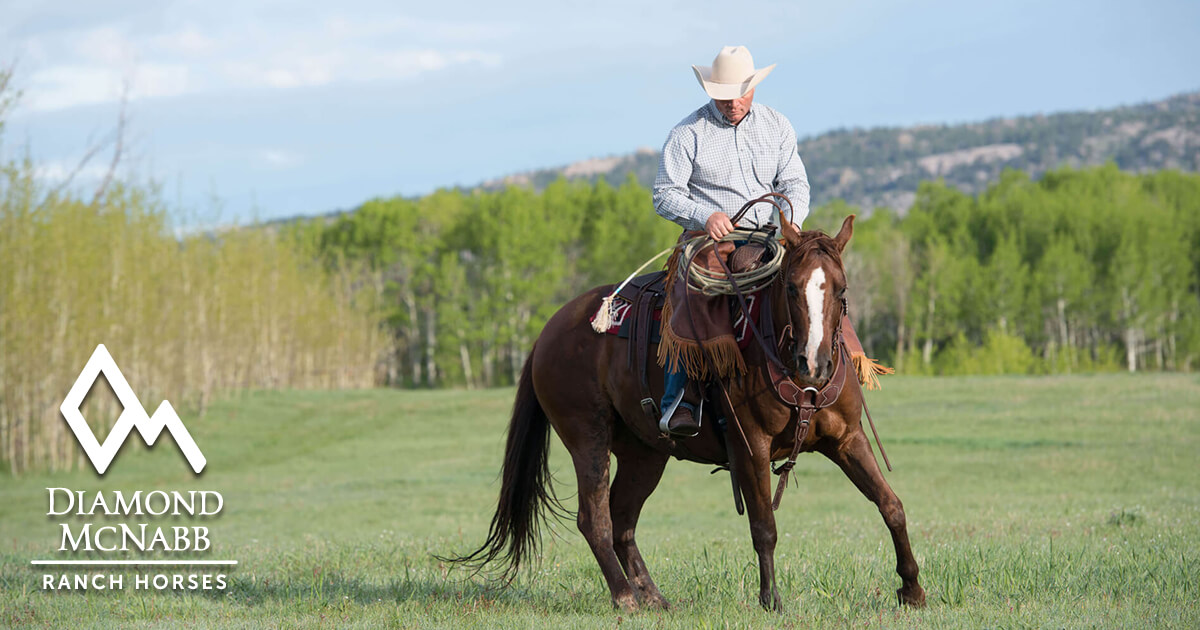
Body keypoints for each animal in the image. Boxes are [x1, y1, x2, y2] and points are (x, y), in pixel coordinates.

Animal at [447, 213, 926, 612]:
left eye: (841, 289)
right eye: (791, 287)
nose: (816, 364)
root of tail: (549, 331)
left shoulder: (847, 439)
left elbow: (892, 505)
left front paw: (913, 589)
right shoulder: (750, 447)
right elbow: (764, 526)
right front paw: (771, 600)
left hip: (644, 454)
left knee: (622, 519)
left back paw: (654, 597)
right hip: (588, 439)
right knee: (595, 518)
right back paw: (625, 598)